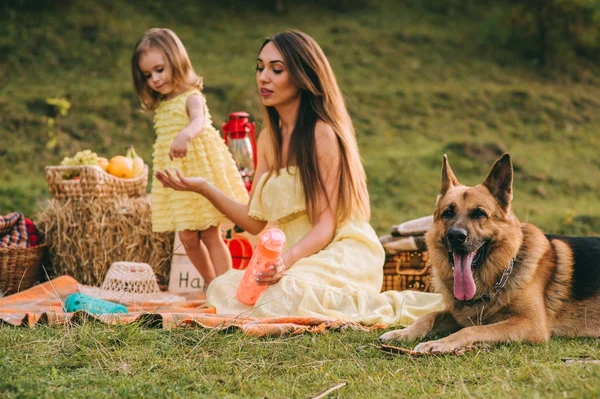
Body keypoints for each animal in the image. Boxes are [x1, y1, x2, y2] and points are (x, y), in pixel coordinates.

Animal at [380, 155, 600, 354]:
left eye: (479, 213)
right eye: (447, 213)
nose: (455, 236)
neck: (502, 272)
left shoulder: (530, 324)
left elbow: (471, 329)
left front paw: (440, 343)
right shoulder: (459, 314)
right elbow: (429, 315)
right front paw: (403, 332)